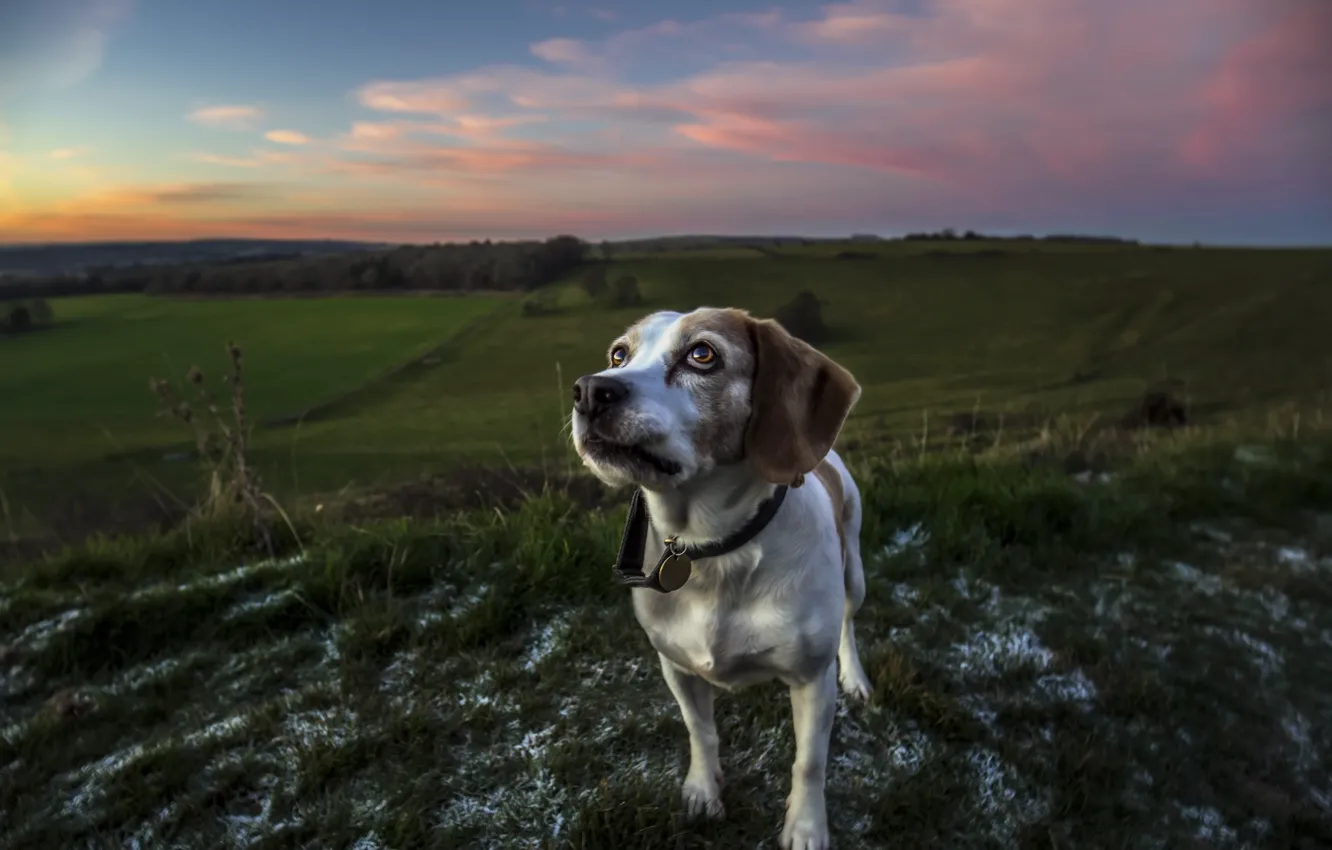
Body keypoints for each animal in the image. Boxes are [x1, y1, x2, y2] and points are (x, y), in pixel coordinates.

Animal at [567, 306, 868, 850]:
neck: (712, 550)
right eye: (619, 354)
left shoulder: (812, 682)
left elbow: (809, 763)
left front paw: (806, 826)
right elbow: (700, 732)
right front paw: (703, 791)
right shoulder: (677, 668)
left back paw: (856, 677)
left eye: (702, 354)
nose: (589, 390)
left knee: (849, 627)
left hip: (854, 575)